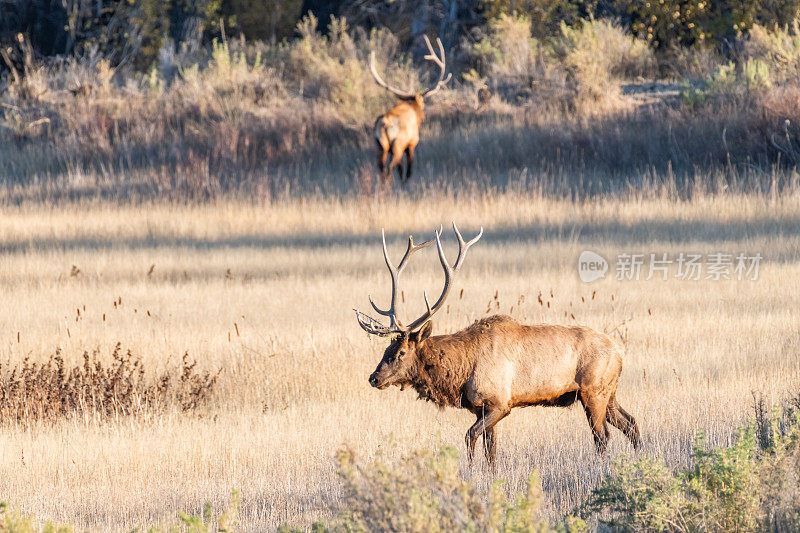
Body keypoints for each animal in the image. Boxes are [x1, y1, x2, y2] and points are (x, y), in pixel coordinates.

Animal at [354, 223, 640, 466]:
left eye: (401, 352)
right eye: (386, 350)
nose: (374, 378)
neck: (462, 371)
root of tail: (620, 351)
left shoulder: (500, 403)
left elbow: (470, 438)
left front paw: (470, 473)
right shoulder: (483, 409)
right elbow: (491, 451)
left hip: (593, 391)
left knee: (602, 436)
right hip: (608, 391)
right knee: (631, 423)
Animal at [368, 35, 450, 185]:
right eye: (422, 103)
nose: (423, 117)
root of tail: (385, 122)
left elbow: (401, 169)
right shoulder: (412, 143)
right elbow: (409, 169)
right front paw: (405, 183)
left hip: (381, 146)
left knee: (382, 167)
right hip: (398, 145)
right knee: (390, 168)